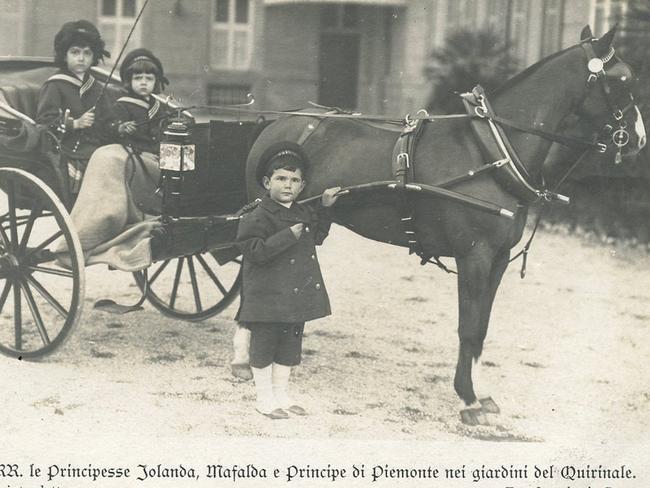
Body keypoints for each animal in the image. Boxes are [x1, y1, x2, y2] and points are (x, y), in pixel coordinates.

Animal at [242, 25, 644, 424]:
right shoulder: (474, 256)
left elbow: (481, 327)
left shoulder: (498, 258)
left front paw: (481, 394)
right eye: (624, 80)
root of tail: (280, 121)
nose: (639, 139)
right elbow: (468, 326)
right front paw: (467, 398)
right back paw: (245, 359)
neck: (490, 154)